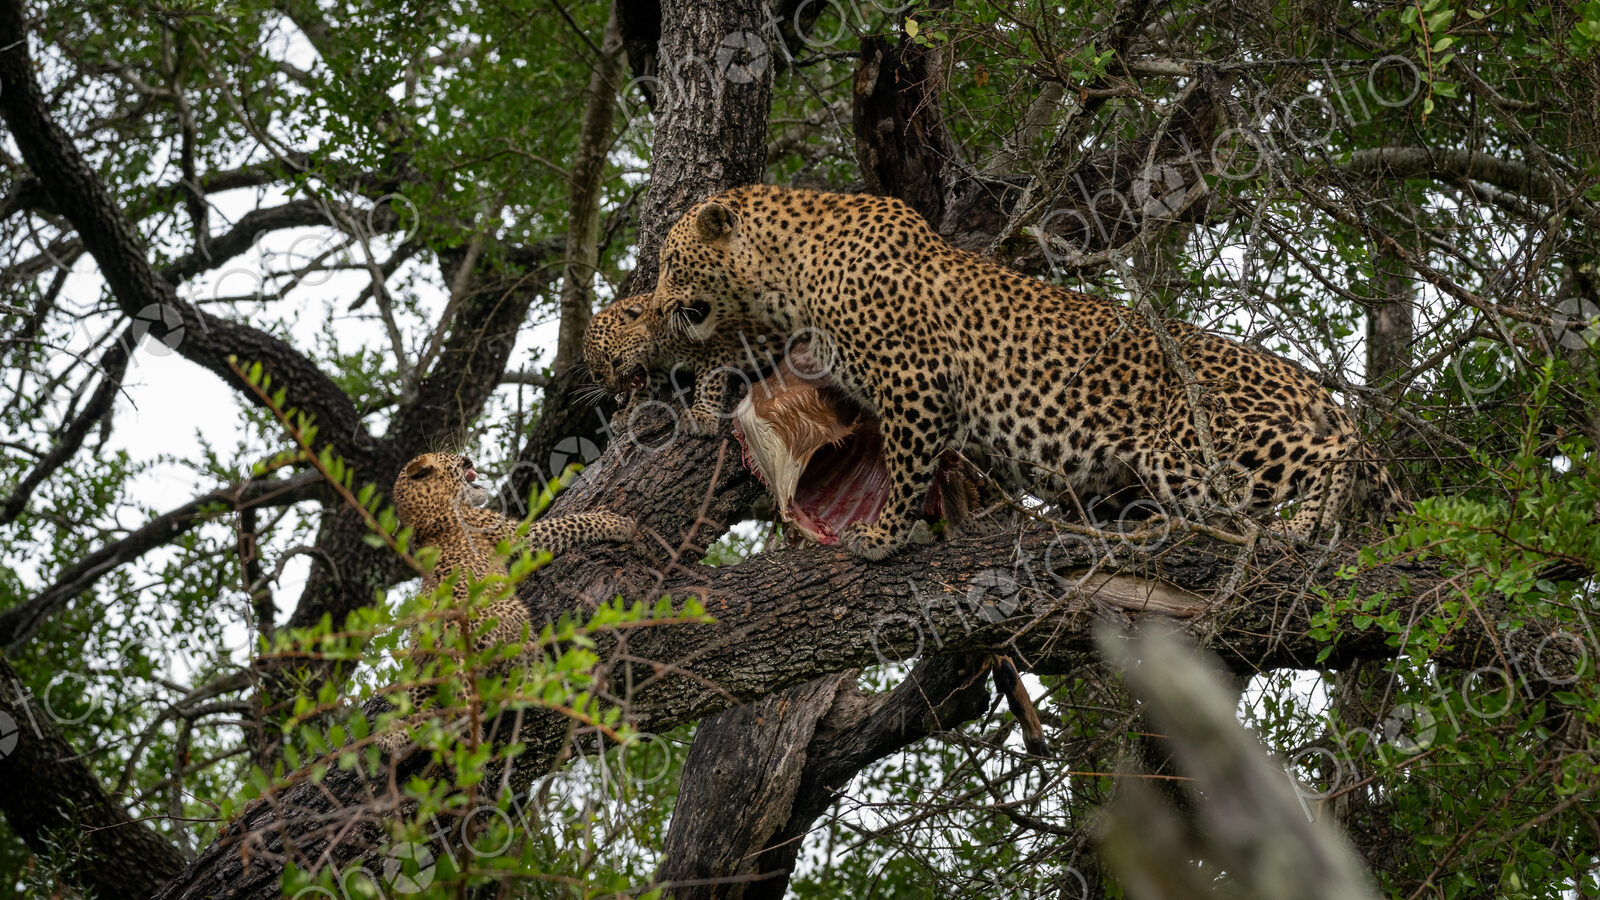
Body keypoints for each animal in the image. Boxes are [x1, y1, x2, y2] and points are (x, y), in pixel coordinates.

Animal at [375, 451, 634, 756]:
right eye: (449, 456)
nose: (466, 456)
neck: (430, 515)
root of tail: (453, 657)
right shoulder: (517, 535)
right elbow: (569, 523)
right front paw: (617, 523)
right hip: (511, 616)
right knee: (512, 688)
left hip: (420, 669)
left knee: (426, 724)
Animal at [632, 184, 1405, 561]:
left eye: (671, 262)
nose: (660, 306)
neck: (785, 272)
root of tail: (1304, 379)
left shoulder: (915, 383)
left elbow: (907, 469)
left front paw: (882, 540)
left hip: (1192, 446)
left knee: (1340, 451)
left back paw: (1300, 526)